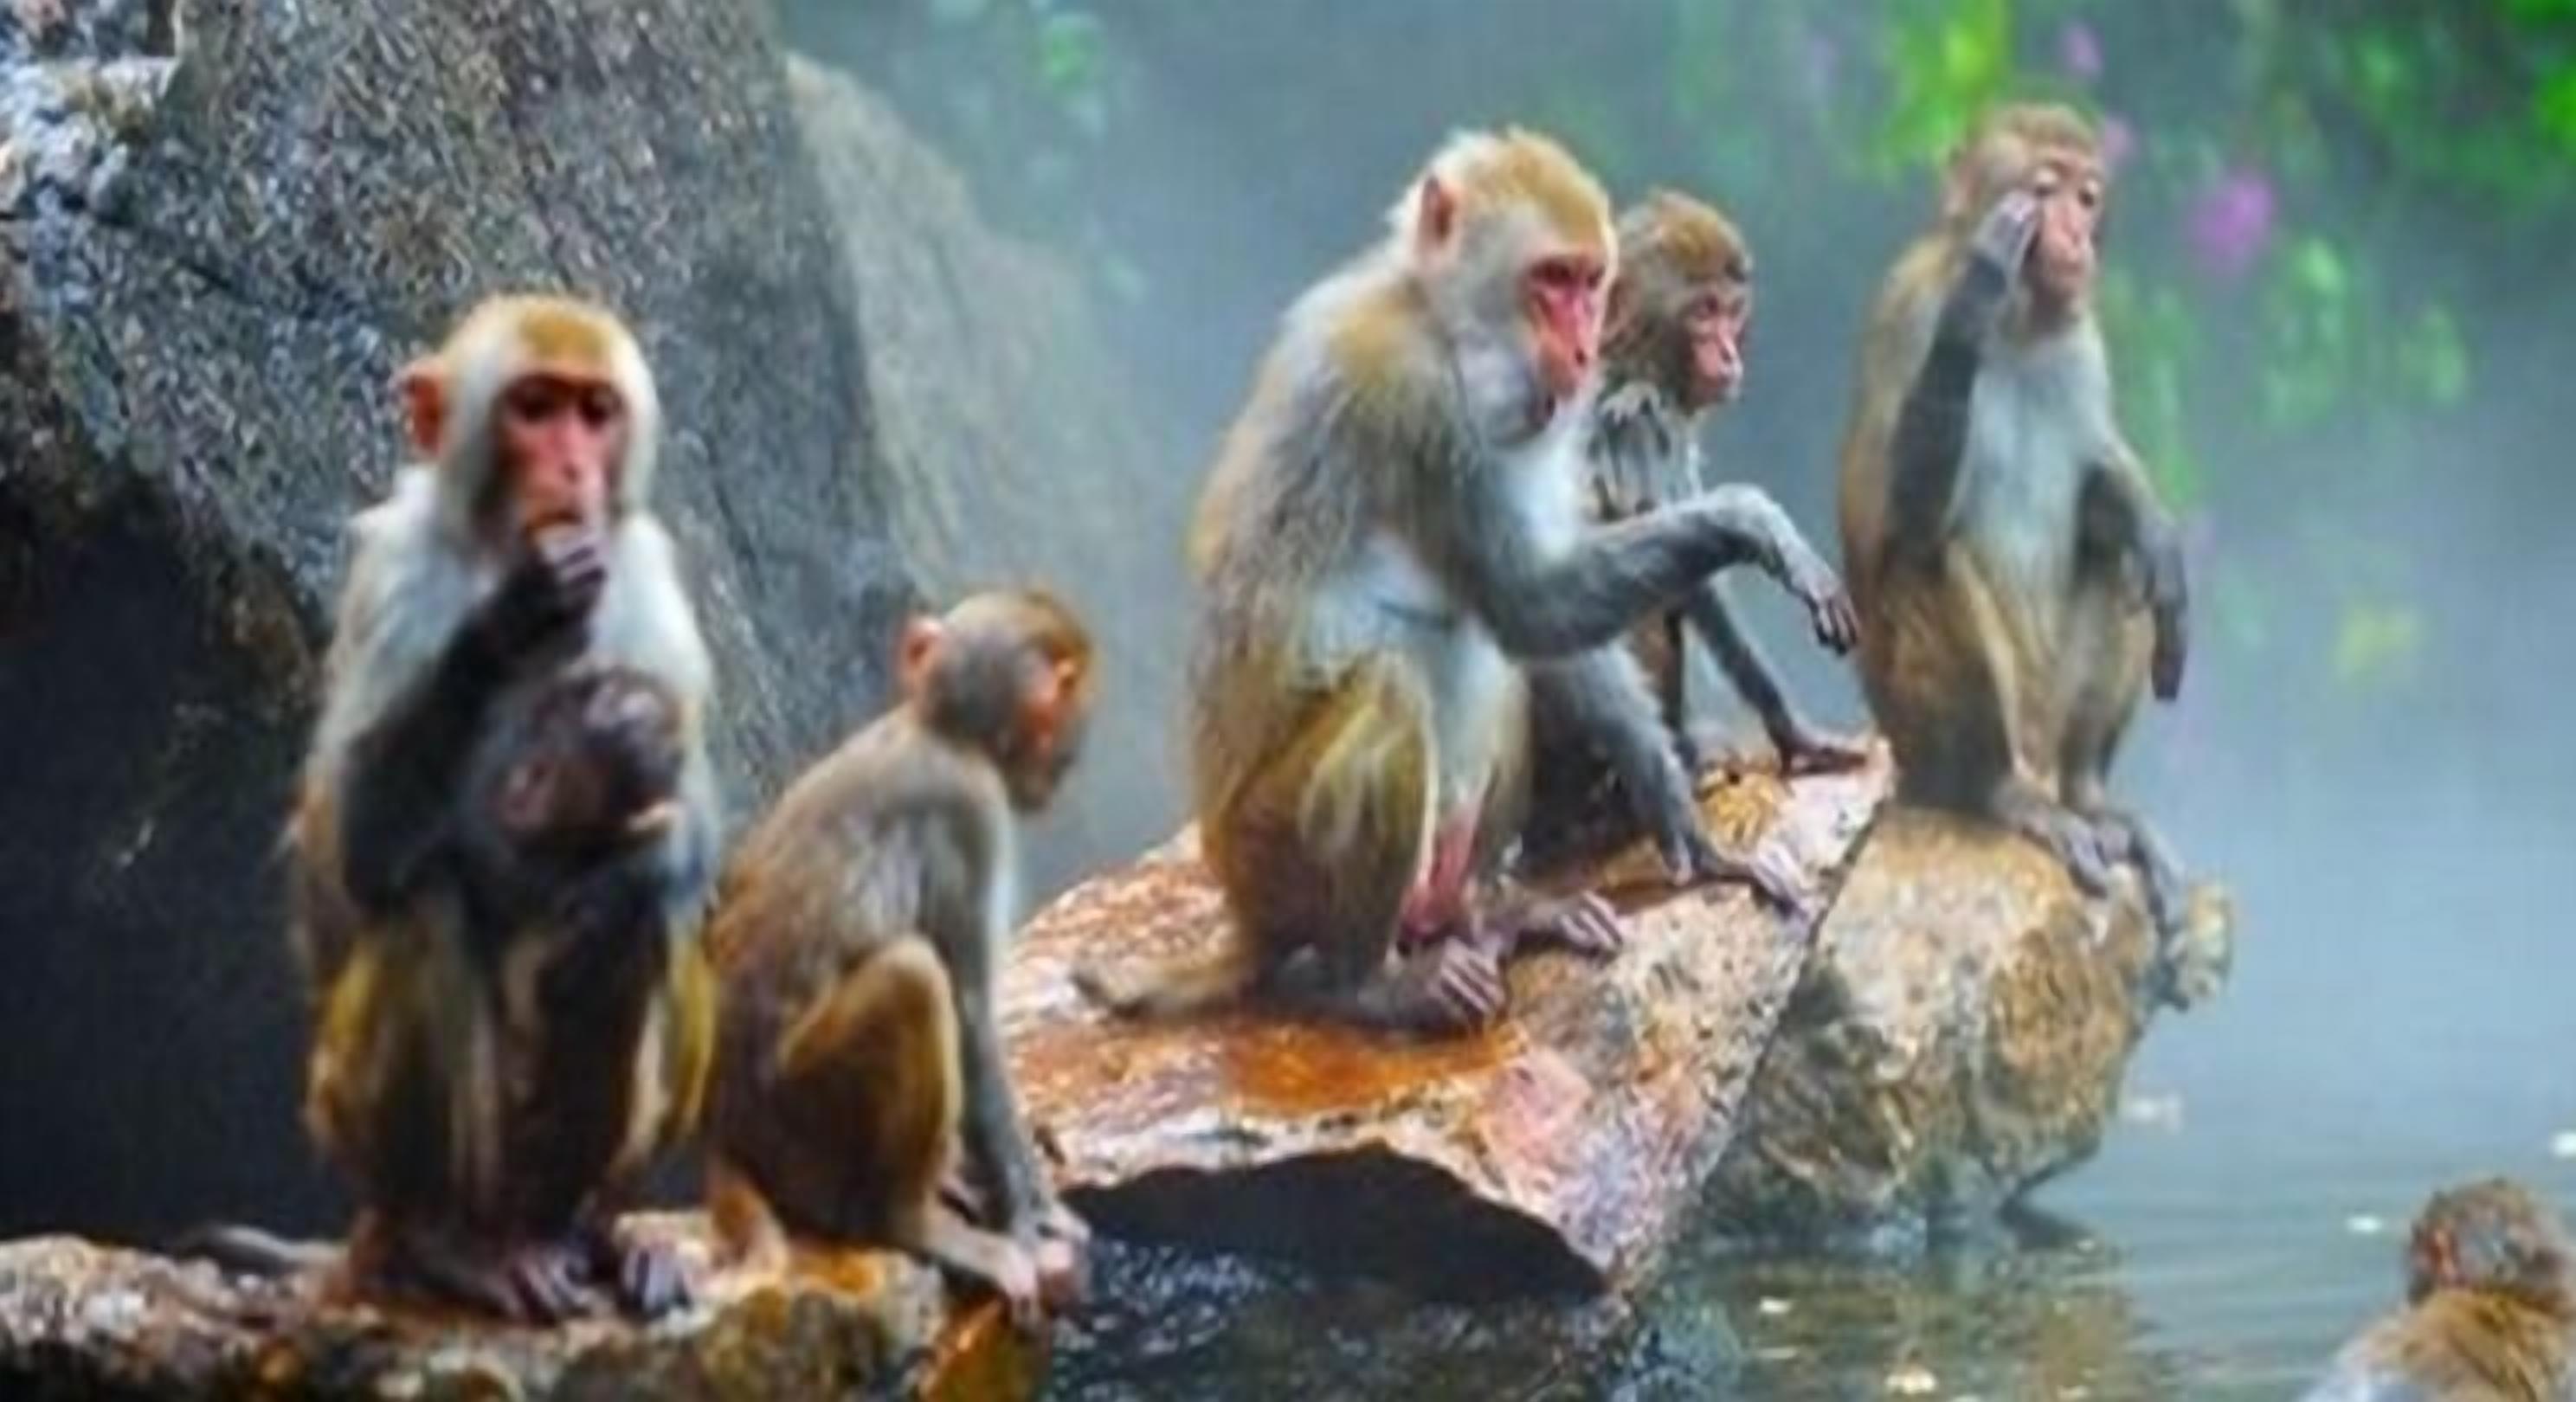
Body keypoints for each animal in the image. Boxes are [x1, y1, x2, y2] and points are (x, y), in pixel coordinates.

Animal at [270, 294, 722, 1324]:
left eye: (594, 413)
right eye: (534, 408)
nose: (571, 470)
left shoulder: (649, 584)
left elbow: (688, 837)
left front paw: (632, 830)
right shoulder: (395, 579)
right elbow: (353, 853)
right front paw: (511, 620)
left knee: (652, 923)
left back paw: (596, 1228)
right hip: (344, 1119)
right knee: (426, 907)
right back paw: (444, 1242)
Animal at [704, 589, 1094, 1328]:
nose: (1068, 762)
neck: (940, 730)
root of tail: (728, 1132)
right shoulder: (972, 812)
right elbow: (970, 1013)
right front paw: (1032, 1215)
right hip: (804, 1126)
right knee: (914, 975)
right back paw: (909, 1220)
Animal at [1520, 190, 1864, 871]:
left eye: (1732, 313)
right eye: (1703, 313)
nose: (1729, 353)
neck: (1627, 359)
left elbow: (1697, 577)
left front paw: (1792, 730)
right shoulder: (1644, 419)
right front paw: (1760, 520)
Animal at [1834, 104, 2191, 932]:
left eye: (2088, 199)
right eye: (2044, 190)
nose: (2075, 237)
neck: (2025, 327)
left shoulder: (2085, 344)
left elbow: (2100, 484)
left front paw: (2159, 533)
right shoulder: (1905, 310)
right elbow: (1902, 522)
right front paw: (1976, 292)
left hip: (2050, 721)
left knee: (2118, 562)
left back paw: (2091, 795)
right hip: (1920, 734)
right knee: (1933, 562)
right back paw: (2000, 793)